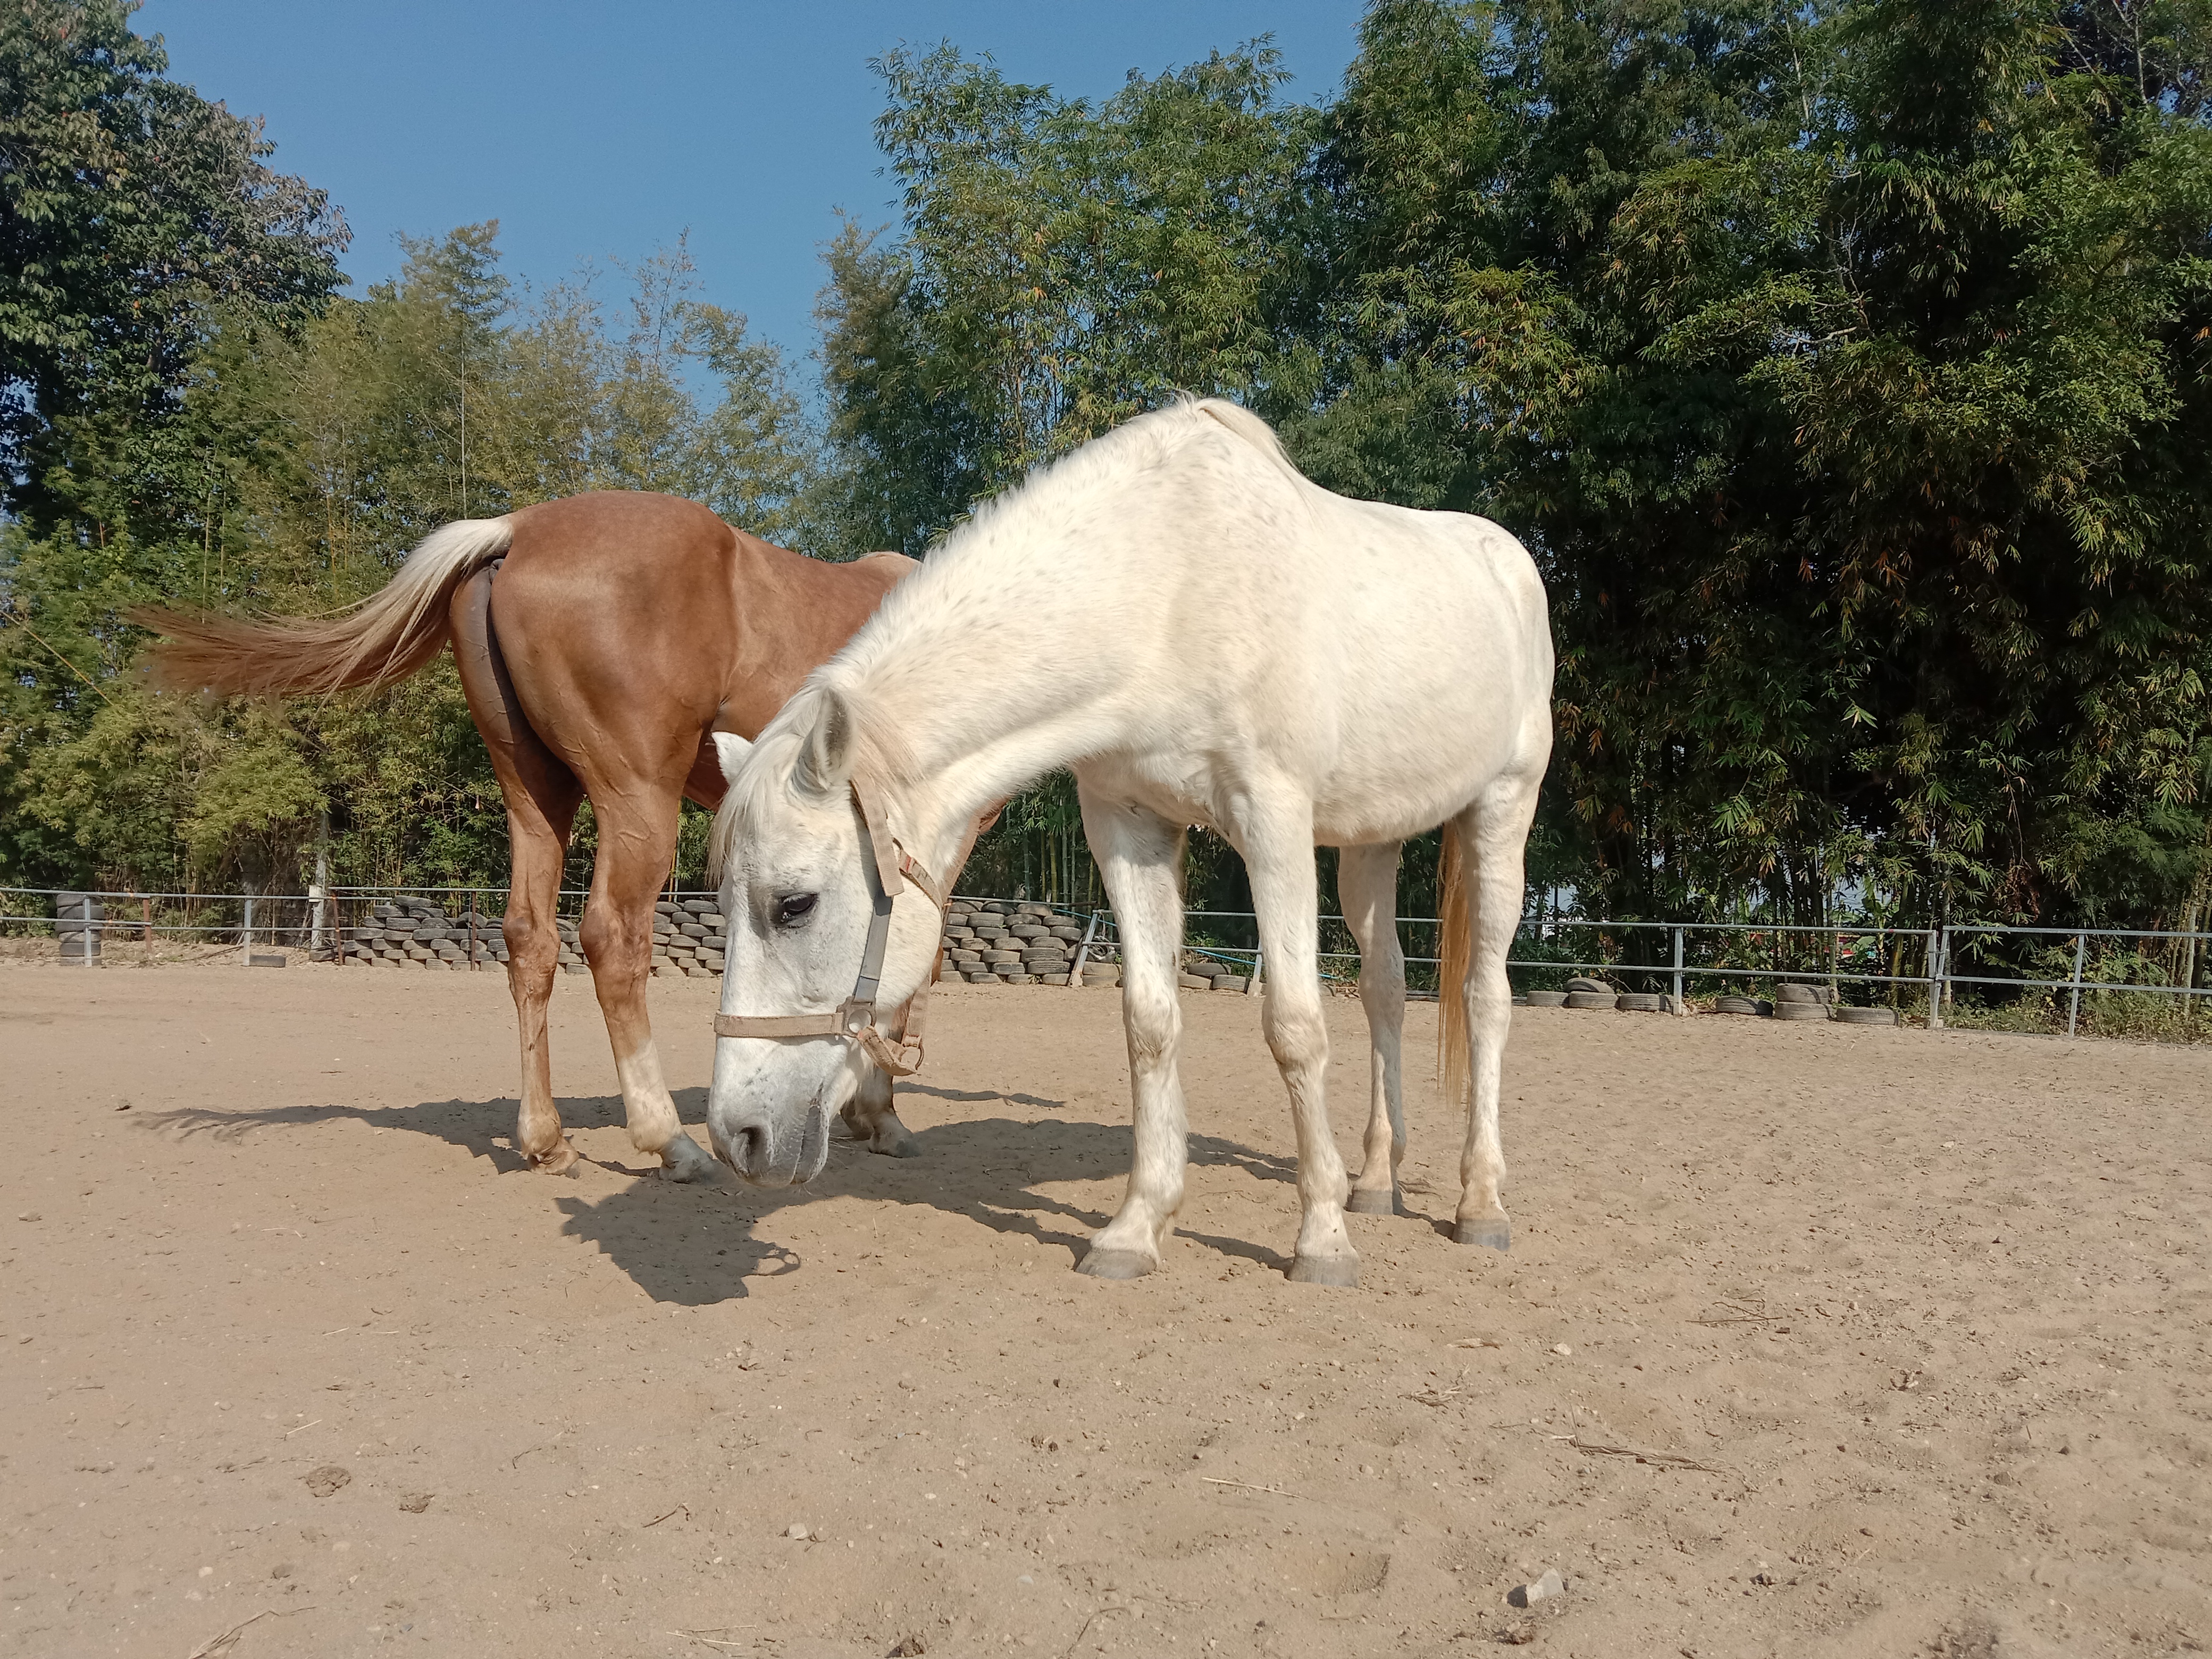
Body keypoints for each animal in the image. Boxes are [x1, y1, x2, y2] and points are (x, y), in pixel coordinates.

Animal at [140, 491, 964, 1177]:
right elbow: (913, 954)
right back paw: (669, 1141)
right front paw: (881, 1115)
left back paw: (546, 1140)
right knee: (611, 940)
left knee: (529, 938)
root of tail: (517, 532)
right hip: (636, 800)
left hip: (534, 795)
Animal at [699, 399, 1554, 1287]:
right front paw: (1138, 1227)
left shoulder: (1273, 823)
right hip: (1370, 844)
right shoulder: (1128, 824)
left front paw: (1320, 1240)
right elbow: (1149, 1020)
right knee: (1386, 989)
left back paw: (1480, 1205)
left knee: (1486, 997)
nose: (735, 1138)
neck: (1169, 589)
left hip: (1503, 810)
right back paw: (1378, 1182)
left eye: (795, 904)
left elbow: (1294, 1025)